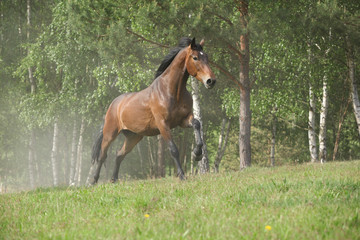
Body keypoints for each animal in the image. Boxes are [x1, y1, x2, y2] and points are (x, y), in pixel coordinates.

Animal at [91, 38, 215, 184]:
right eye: (195, 57)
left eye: (206, 57)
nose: (211, 81)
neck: (171, 91)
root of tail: (113, 104)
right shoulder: (163, 125)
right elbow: (173, 149)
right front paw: (182, 175)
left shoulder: (184, 120)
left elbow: (197, 124)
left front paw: (197, 154)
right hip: (110, 134)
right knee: (102, 156)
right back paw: (94, 181)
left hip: (133, 137)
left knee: (119, 155)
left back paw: (114, 179)